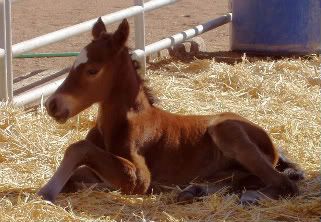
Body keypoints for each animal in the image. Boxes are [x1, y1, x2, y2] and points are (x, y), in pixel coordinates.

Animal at [37, 18, 302, 204]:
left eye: (92, 70)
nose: (52, 104)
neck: (121, 122)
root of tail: (272, 144)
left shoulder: (139, 179)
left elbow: (78, 148)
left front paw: (46, 192)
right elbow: (77, 174)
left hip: (226, 130)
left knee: (284, 184)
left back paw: (250, 197)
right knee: (237, 180)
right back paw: (194, 190)